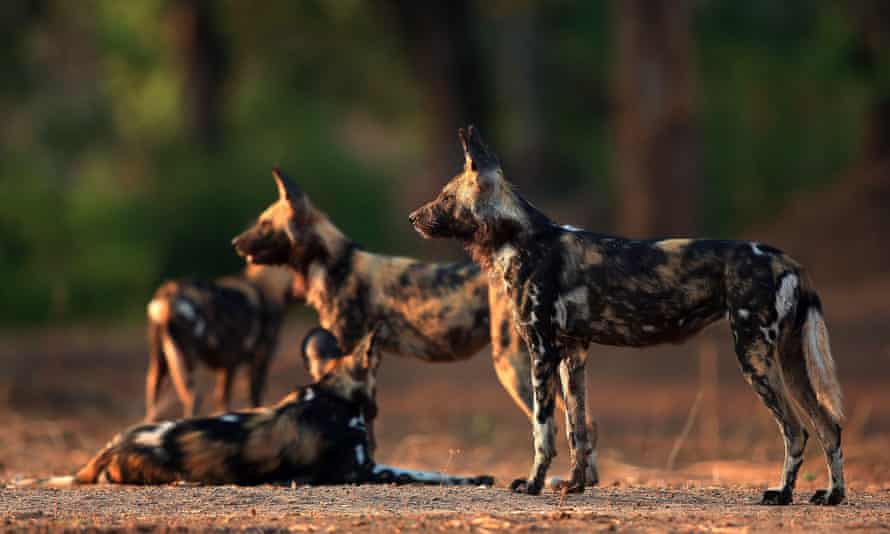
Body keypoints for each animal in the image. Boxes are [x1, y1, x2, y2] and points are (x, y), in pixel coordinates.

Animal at [144, 264, 294, 422]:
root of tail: (170, 292)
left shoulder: (228, 366)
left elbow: (223, 401)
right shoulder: (251, 363)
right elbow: (248, 401)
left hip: (159, 365)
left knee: (154, 401)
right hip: (187, 360)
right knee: (195, 398)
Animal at [229, 169, 596, 486]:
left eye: (264, 225)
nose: (235, 243)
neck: (335, 265)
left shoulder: (351, 352)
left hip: (512, 365)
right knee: (581, 419)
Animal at [406, 125, 844, 506]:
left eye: (444, 197)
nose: (412, 217)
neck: (520, 237)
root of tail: (787, 260)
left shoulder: (542, 353)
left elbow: (543, 431)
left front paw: (533, 484)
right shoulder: (573, 354)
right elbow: (577, 430)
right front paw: (575, 486)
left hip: (754, 357)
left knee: (796, 431)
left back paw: (782, 494)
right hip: (790, 362)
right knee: (829, 427)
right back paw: (831, 495)